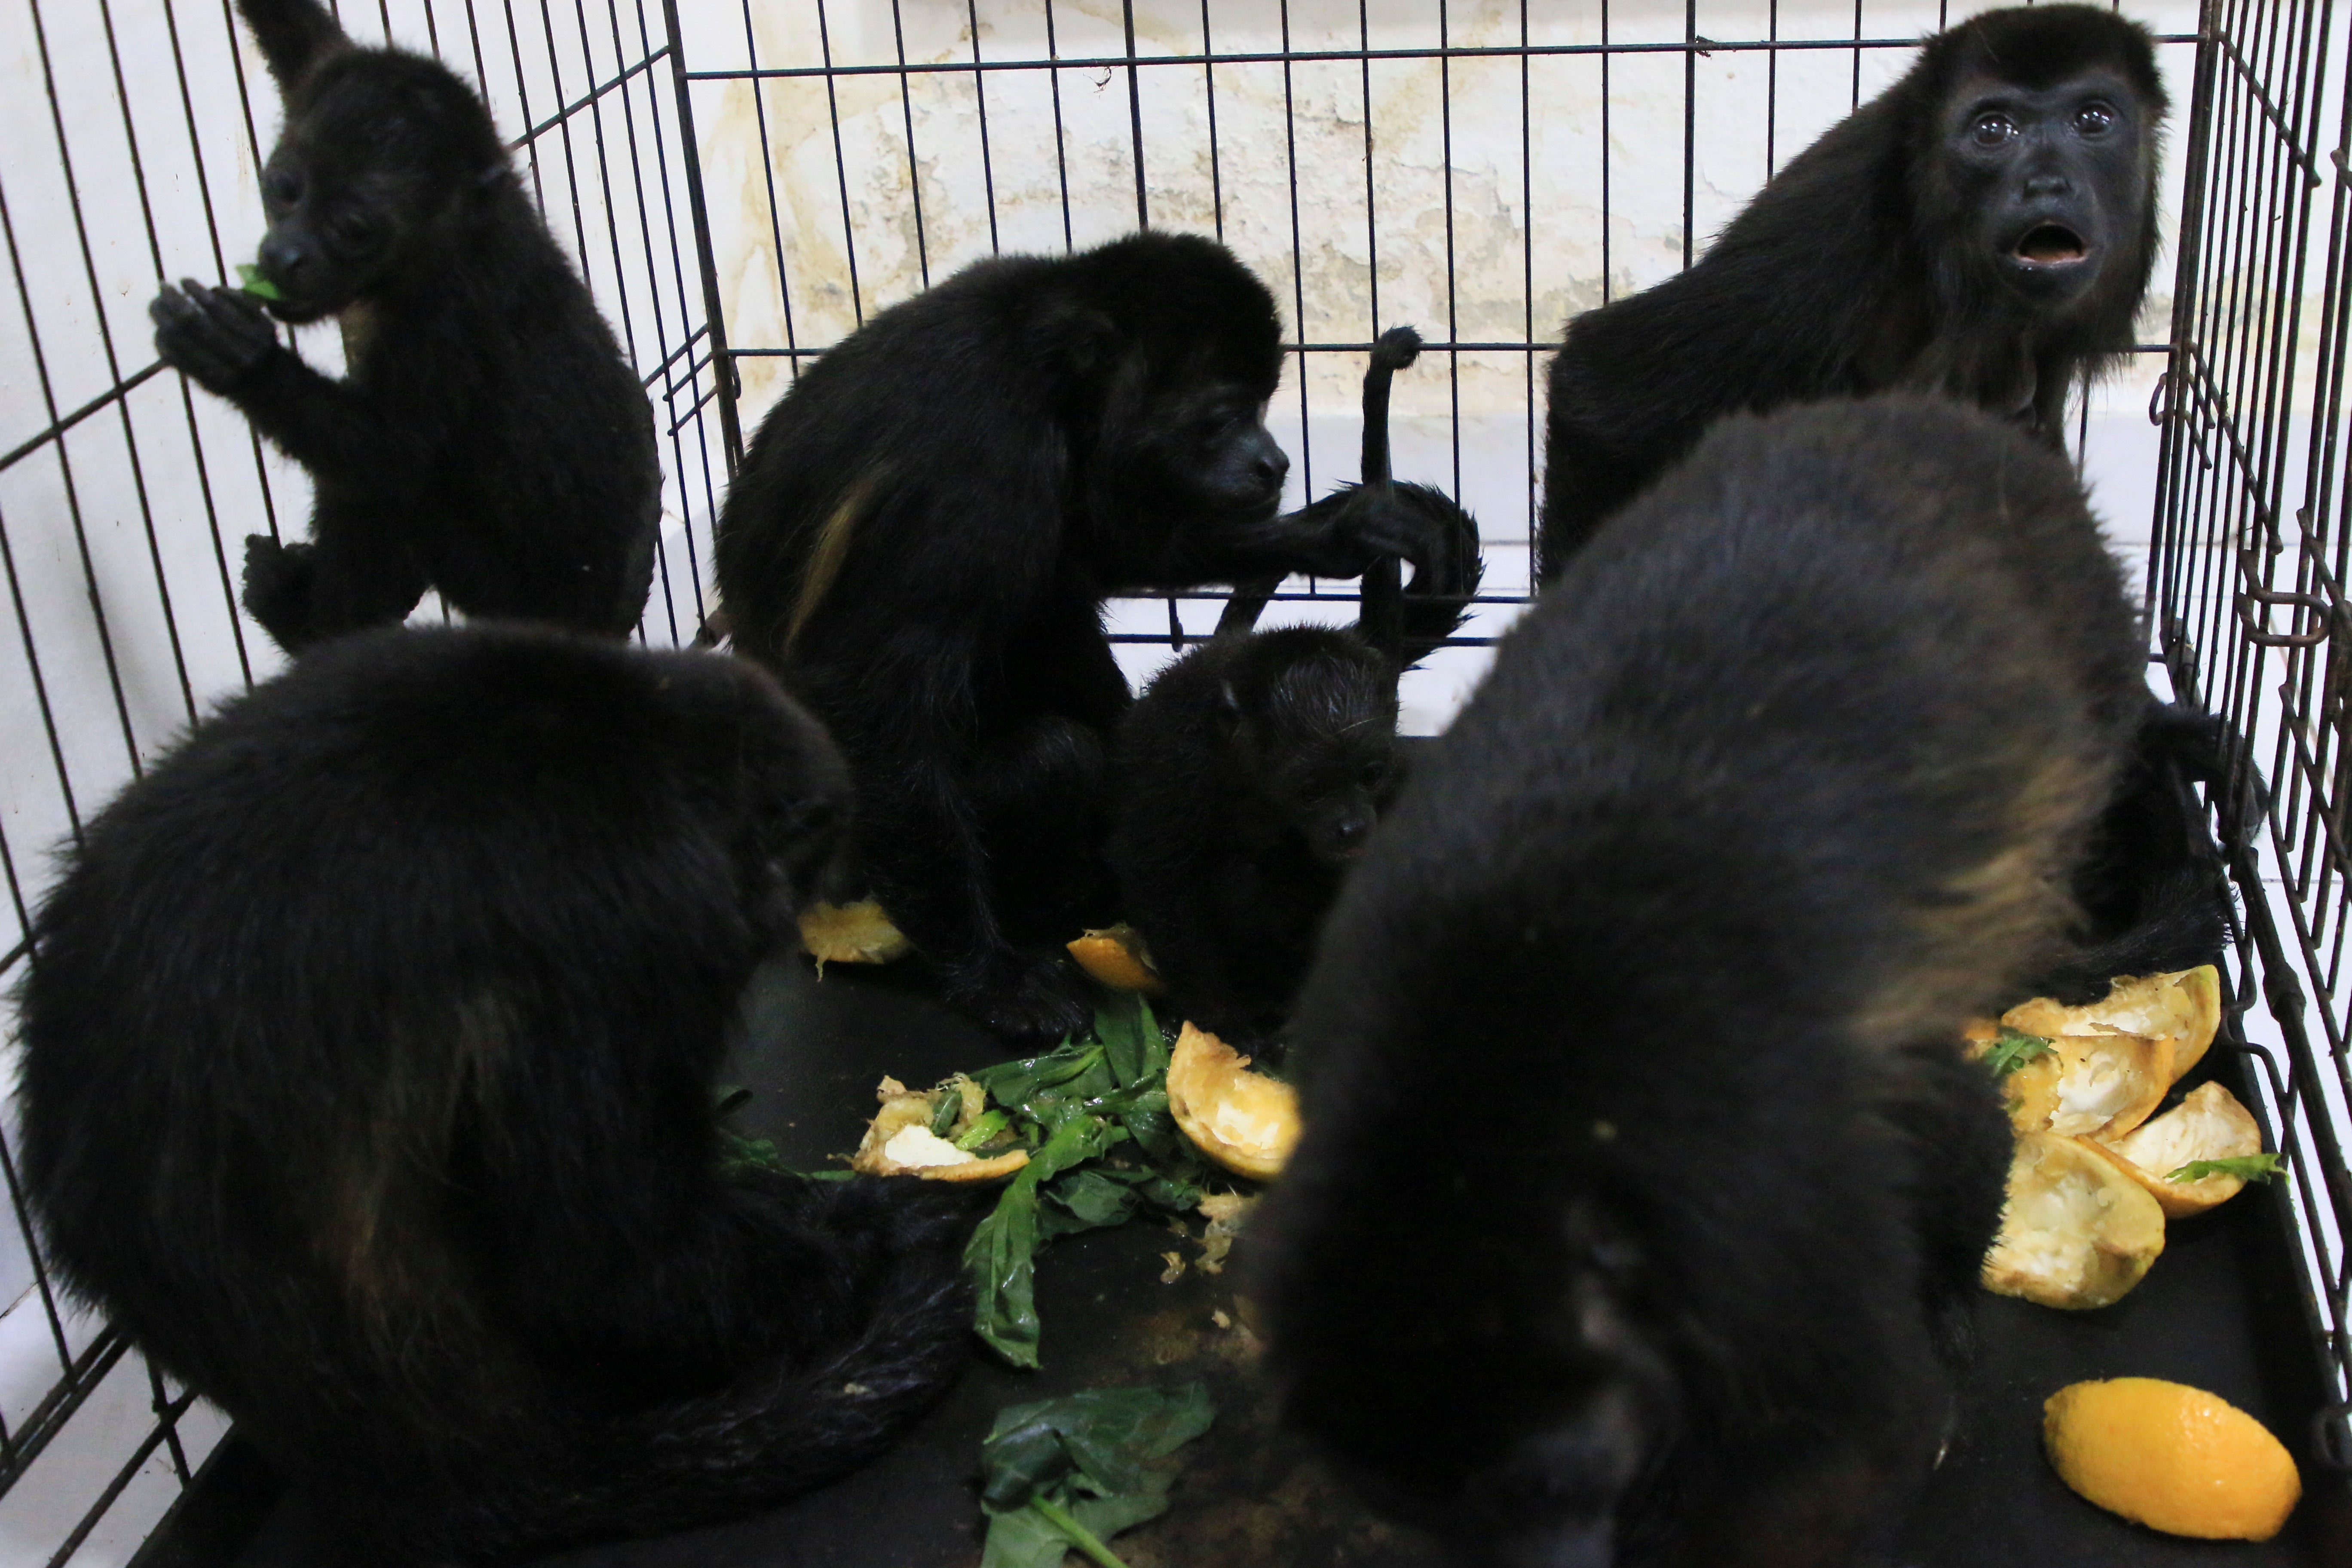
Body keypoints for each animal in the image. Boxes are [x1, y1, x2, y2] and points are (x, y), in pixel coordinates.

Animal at [147, 0, 663, 653]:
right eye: (284, 189)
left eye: (353, 229)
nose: (284, 256)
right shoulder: (329, 70)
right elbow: (297, 32)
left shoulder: (444, 318)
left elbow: (391, 460)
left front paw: (240, 361)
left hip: (497, 588)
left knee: (382, 495)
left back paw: (311, 632)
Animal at [715, 236, 1449, 1044]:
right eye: (1222, 417)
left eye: (1261, 407)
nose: (1274, 461)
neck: (1044, 368)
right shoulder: (978, 461)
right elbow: (866, 694)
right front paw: (994, 979)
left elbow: (1097, 548)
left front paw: (1333, 534)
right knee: (1051, 751)